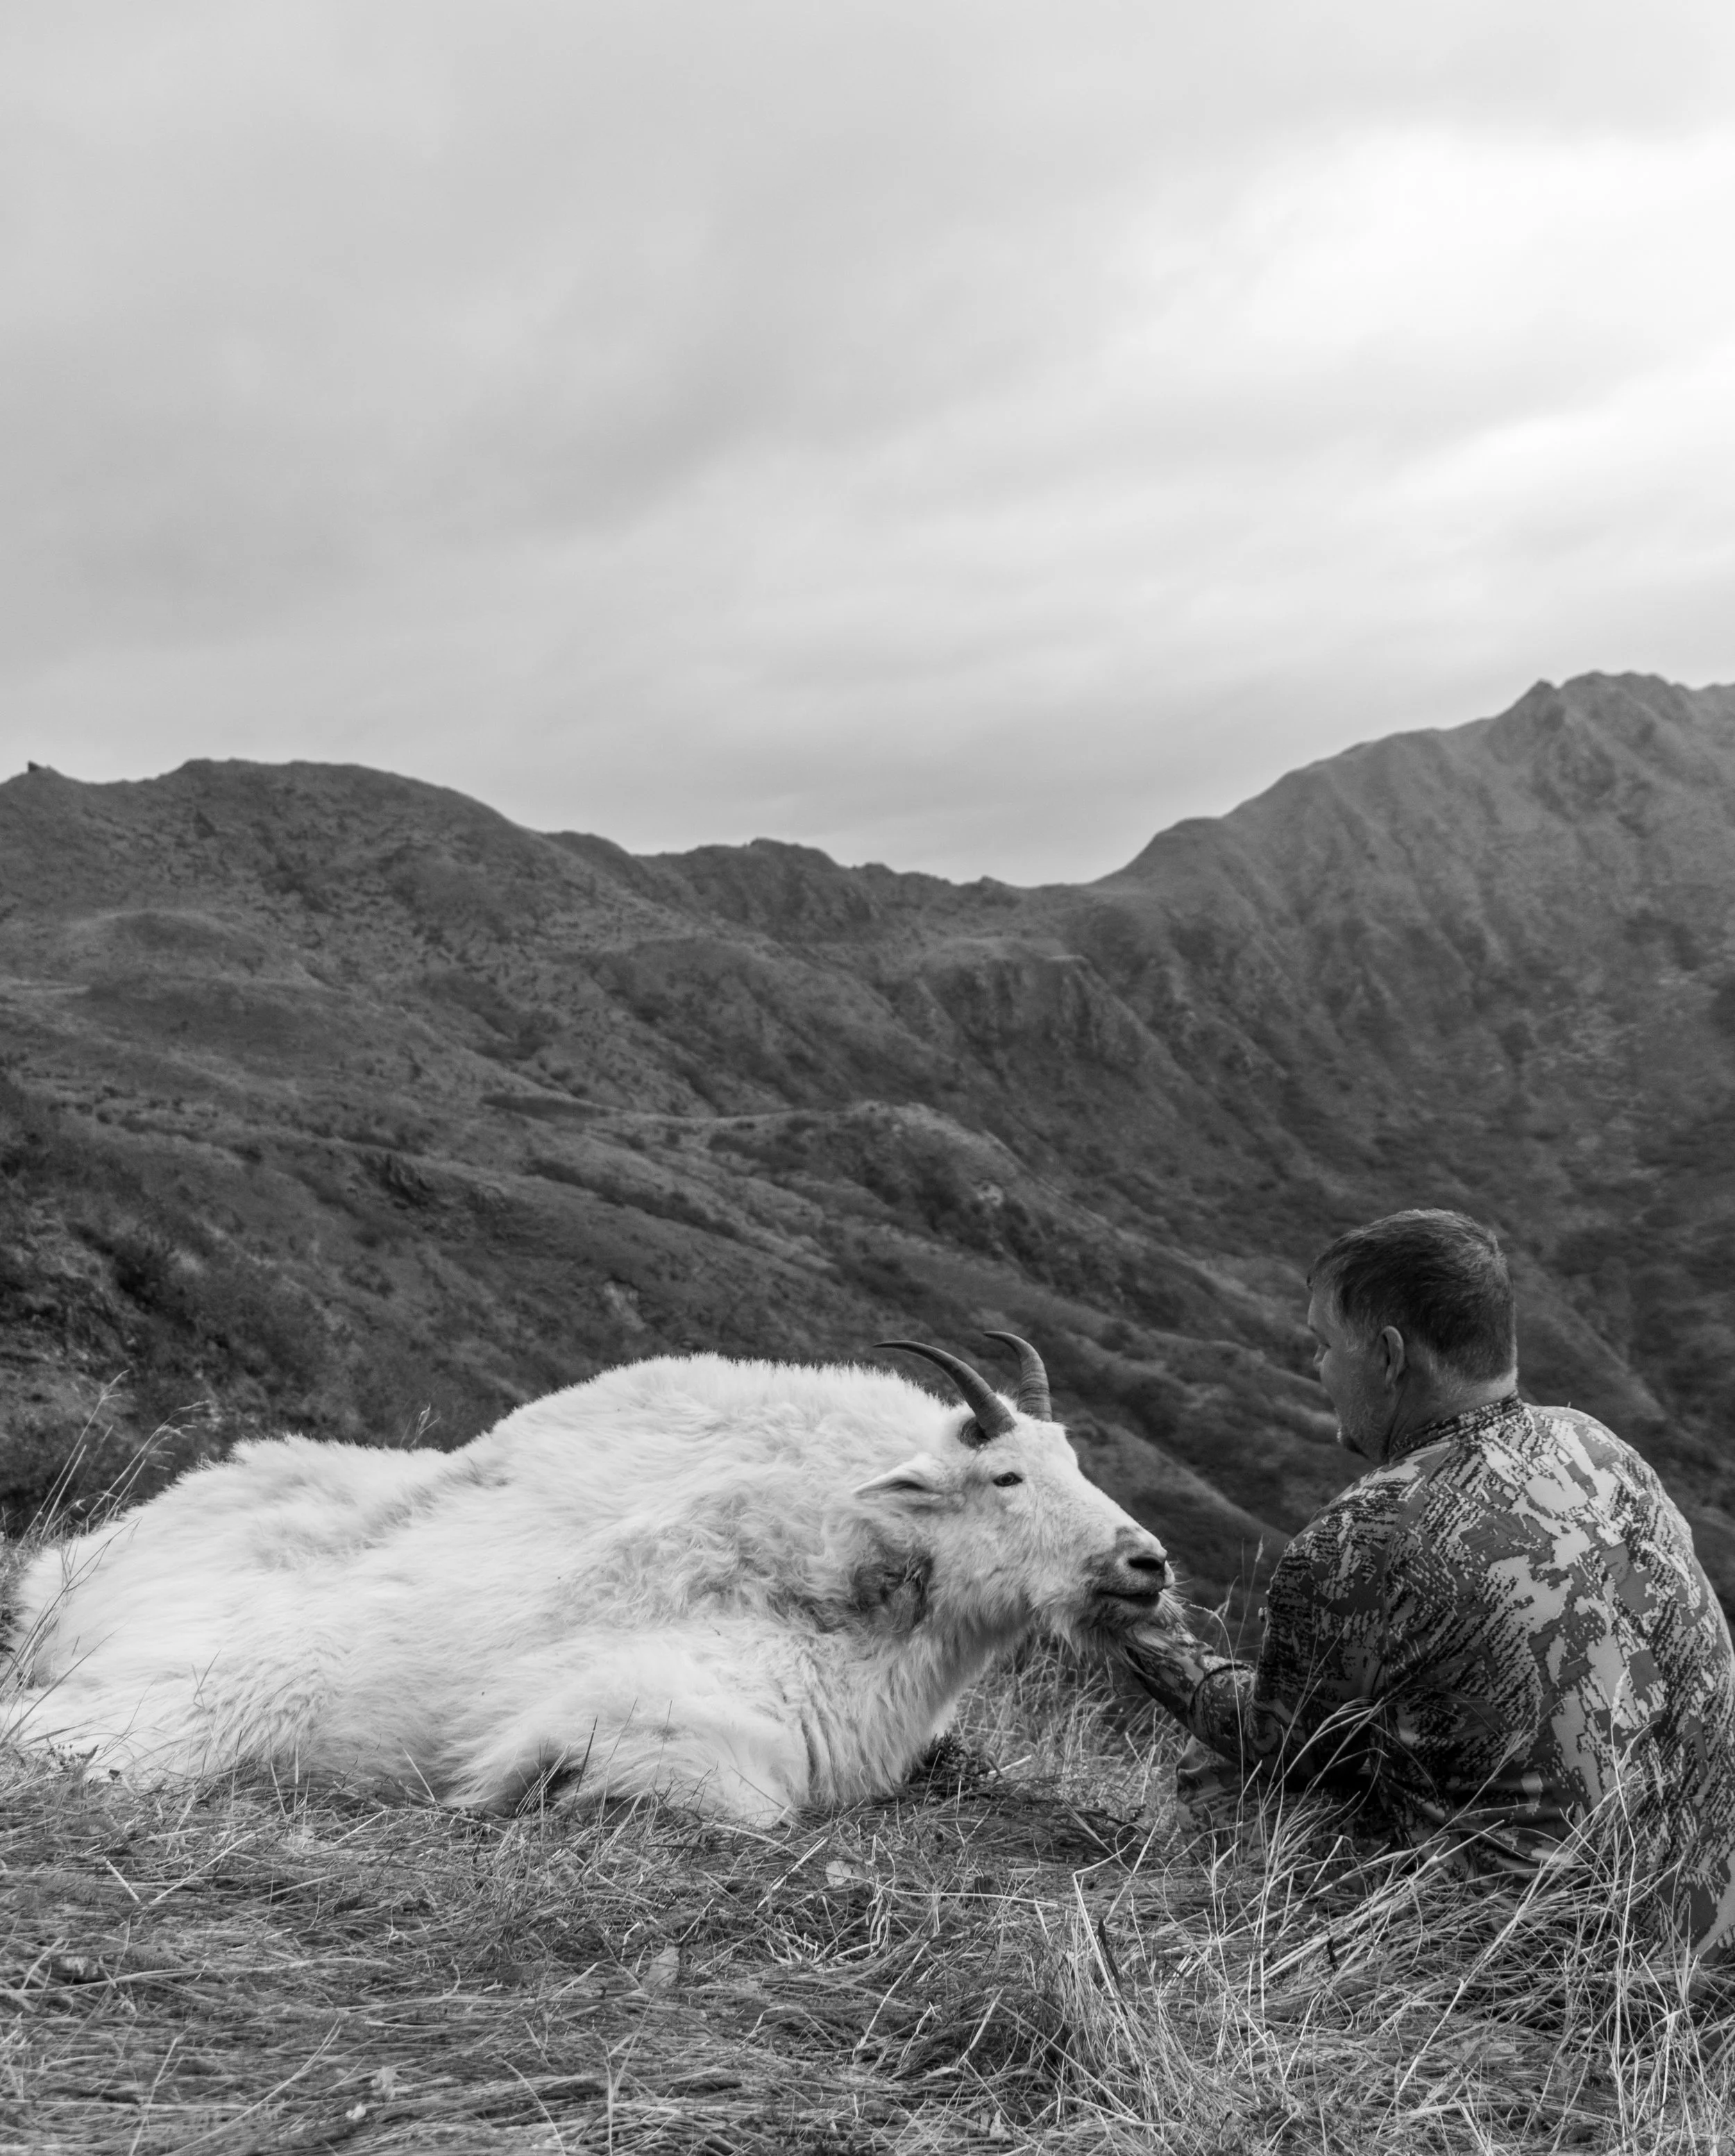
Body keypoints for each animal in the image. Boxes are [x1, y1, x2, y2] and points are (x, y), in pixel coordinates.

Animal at [1, 1337, 1171, 1821]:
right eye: (1007, 1473)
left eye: (1077, 1458)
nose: (1147, 1563)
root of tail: (70, 1585)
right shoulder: (679, 1699)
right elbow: (744, 1796)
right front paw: (545, 1783)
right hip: (205, 1704)